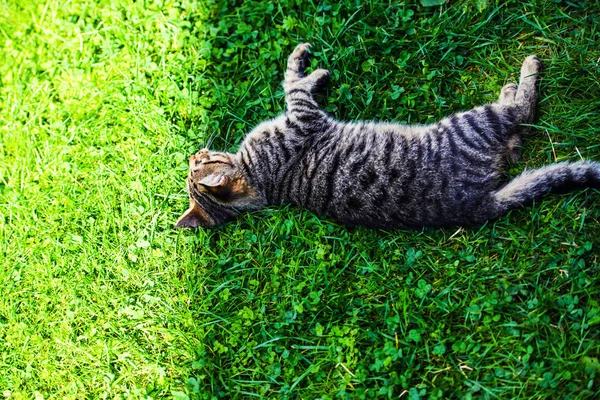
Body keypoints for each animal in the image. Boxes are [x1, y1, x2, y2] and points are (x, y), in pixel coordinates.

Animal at [176, 43, 596, 228]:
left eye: (198, 162)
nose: (194, 153)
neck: (260, 179)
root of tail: (477, 205)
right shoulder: (303, 117)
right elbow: (292, 80)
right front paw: (307, 65)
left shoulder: (302, 116)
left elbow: (294, 79)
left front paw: (311, 67)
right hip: (472, 122)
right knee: (521, 112)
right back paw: (522, 77)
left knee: (515, 140)